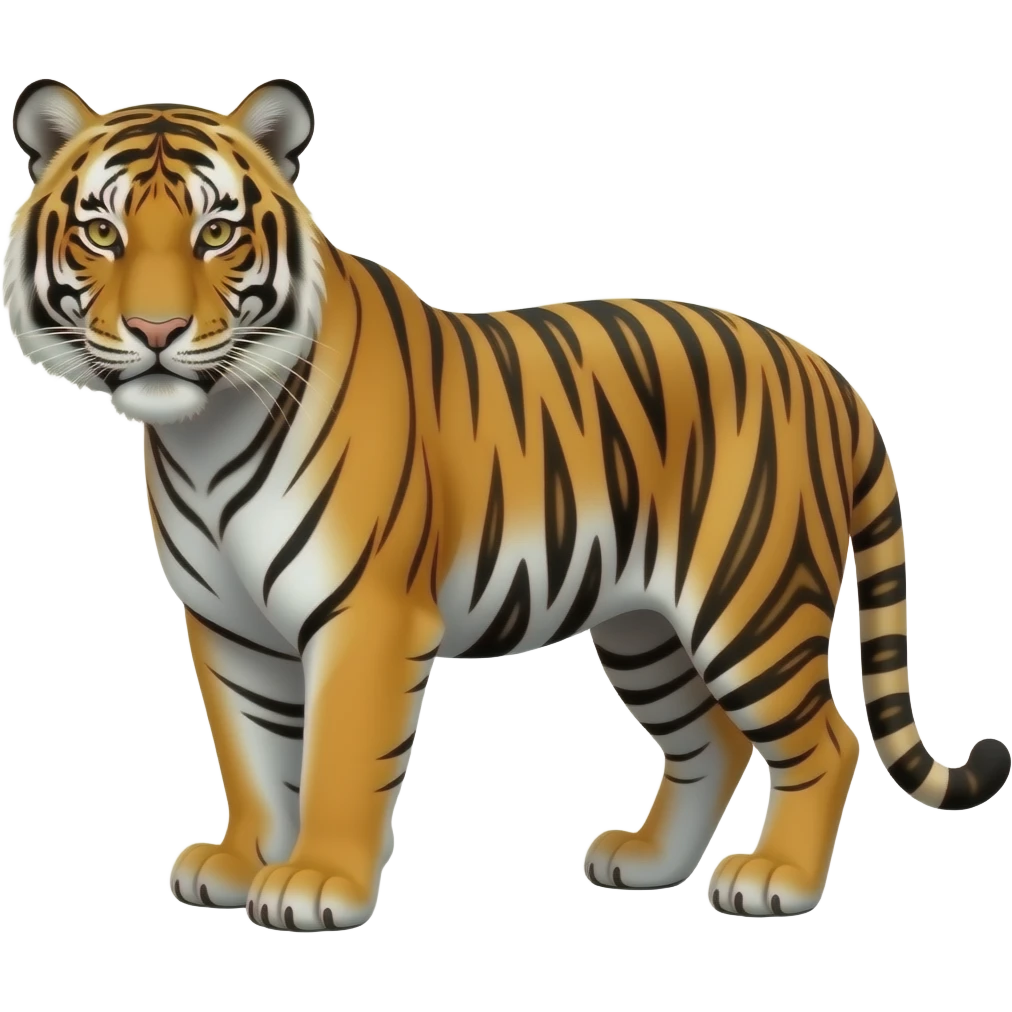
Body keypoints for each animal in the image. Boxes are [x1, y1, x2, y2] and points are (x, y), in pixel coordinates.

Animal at [4, 76, 1008, 933]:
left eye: (216, 234)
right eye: (103, 233)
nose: (157, 331)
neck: (203, 432)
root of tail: (827, 372)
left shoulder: (366, 615)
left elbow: (335, 759)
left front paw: (317, 882)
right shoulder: (229, 625)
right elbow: (254, 754)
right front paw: (243, 861)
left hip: (748, 605)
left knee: (829, 742)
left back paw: (777, 882)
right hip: (645, 628)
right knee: (711, 743)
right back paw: (646, 863)